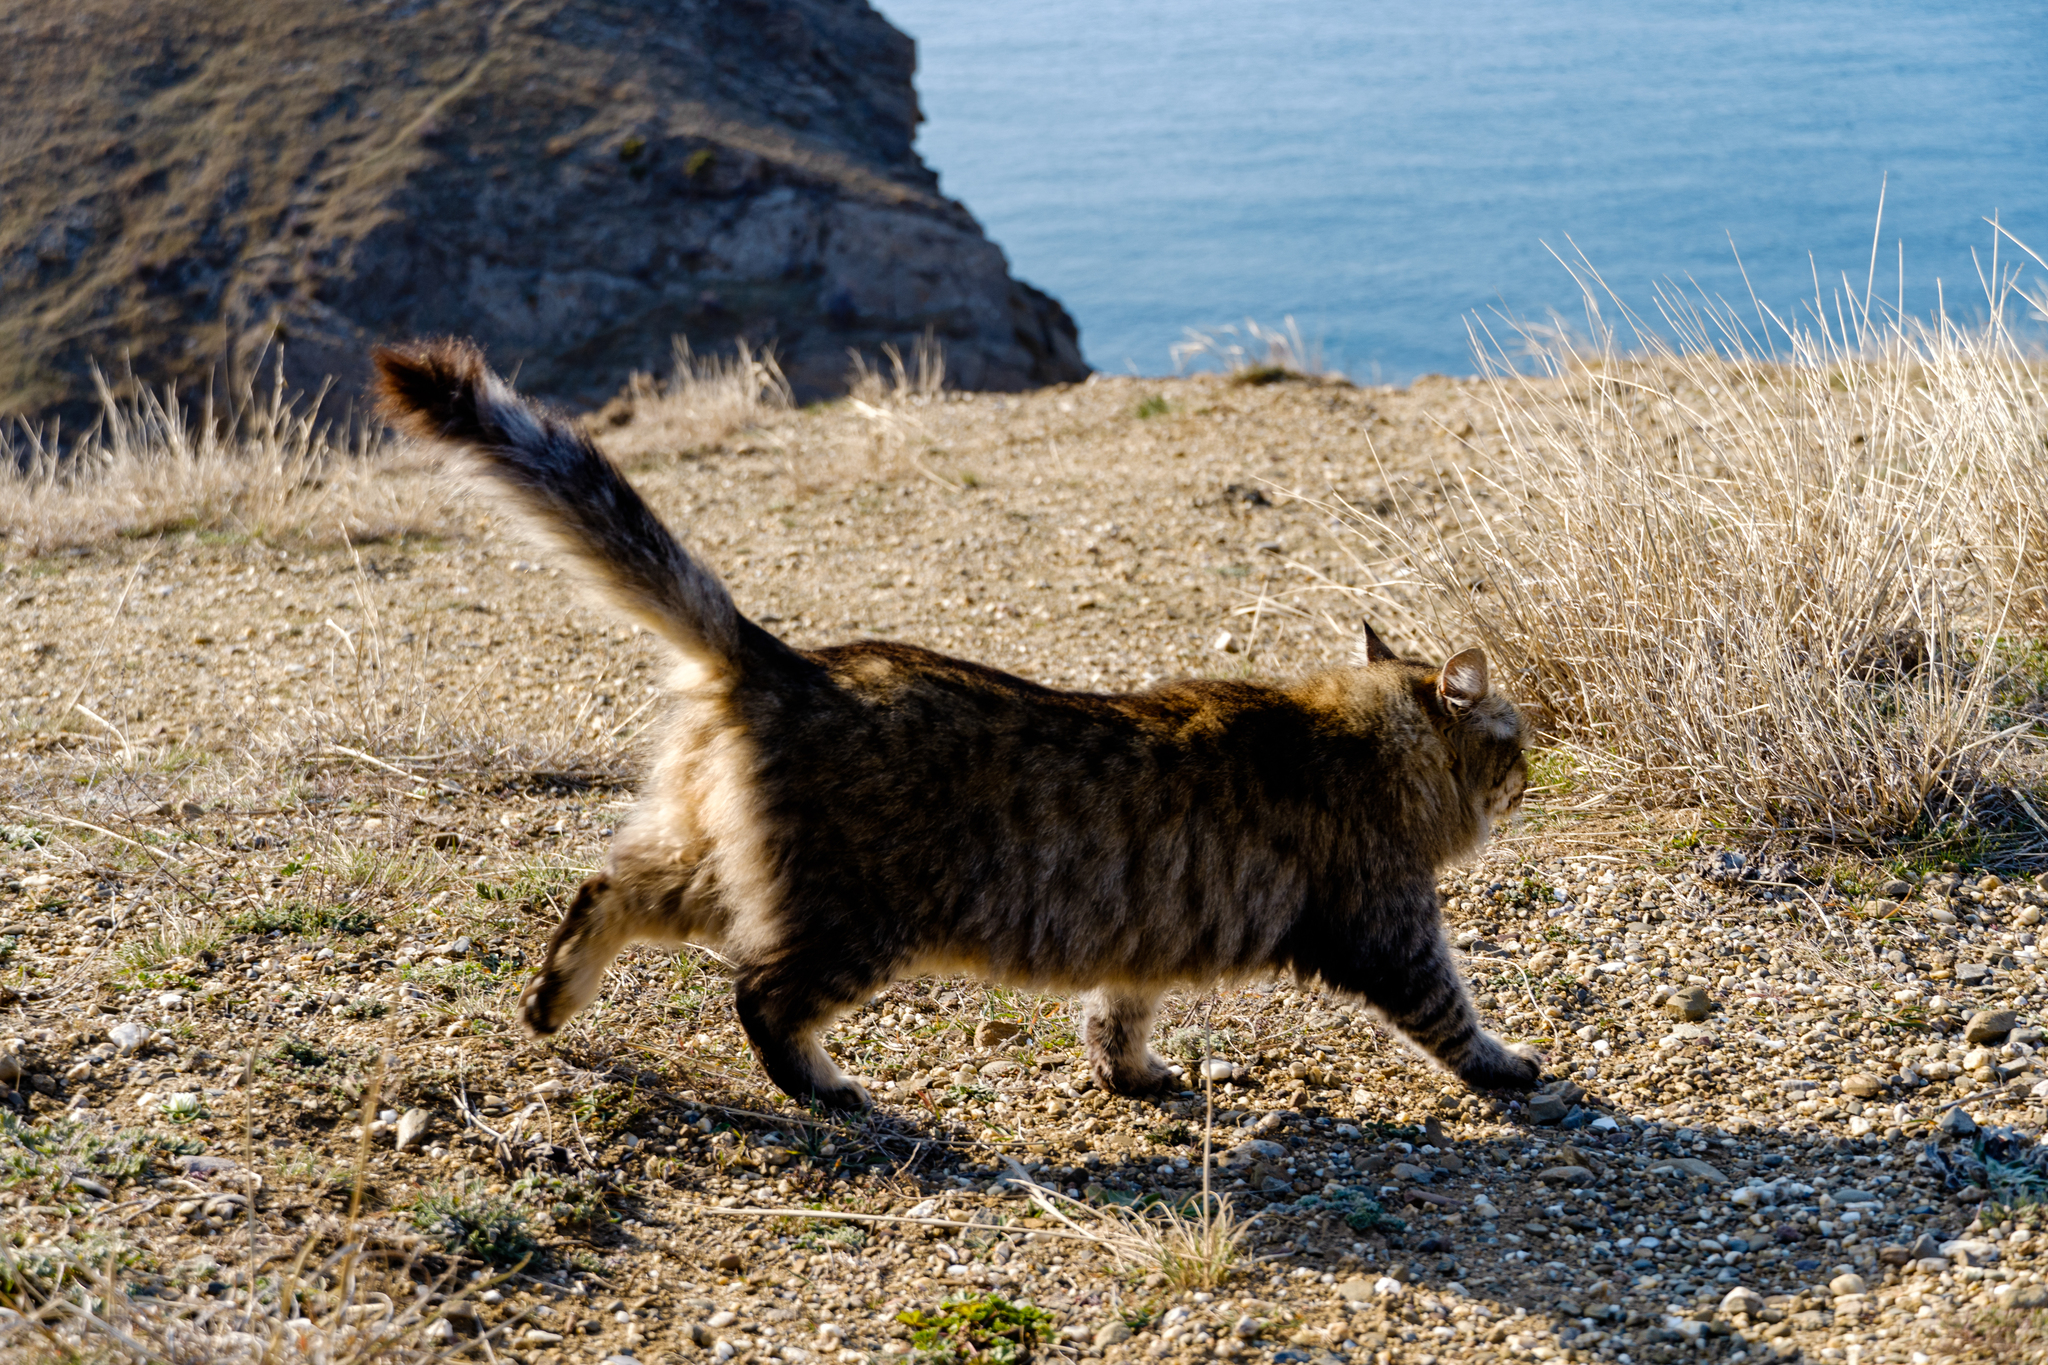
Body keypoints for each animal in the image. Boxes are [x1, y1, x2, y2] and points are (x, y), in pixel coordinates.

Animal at [376, 339, 1540, 1113]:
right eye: (1516, 747)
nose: (1531, 777)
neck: (1366, 737)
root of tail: (786, 660)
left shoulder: (1142, 942)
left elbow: (1117, 1012)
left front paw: (1132, 1075)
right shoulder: (1389, 925)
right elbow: (1451, 1013)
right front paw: (1511, 1067)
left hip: (725, 867)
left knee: (604, 889)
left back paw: (551, 1002)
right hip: (851, 916)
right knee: (759, 995)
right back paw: (826, 1086)